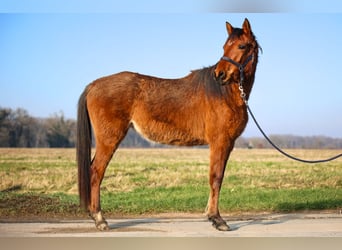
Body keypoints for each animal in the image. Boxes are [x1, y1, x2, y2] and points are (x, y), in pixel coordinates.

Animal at [77, 18, 260, 231]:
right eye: (224, 46)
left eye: (241, 46)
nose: (219, 74)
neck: (225, 93)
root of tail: (93, 85)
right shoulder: (220, 142)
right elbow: (216, 178)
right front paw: (217, 219)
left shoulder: (227, 144)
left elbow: (217, 177)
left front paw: (209, 214)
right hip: (109, 139)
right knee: (96, 172)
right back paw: (99, 218)